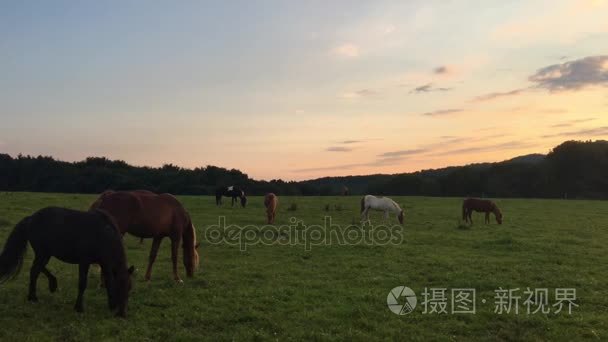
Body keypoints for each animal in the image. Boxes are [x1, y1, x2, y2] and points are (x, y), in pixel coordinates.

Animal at [0, 207, 134, 316]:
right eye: (119, 287)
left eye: (129, 289)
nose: (122, 314)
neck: (104, 235)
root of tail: (31, 218)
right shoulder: (84, 262)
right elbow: (82, 284)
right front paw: (79, 308)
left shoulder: (105, 264)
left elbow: (108, 281)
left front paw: (111, 305)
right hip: (43, 253)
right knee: (35, 270)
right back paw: (37, 294)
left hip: (45, 253)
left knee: (36, 269)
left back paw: (39, 292)